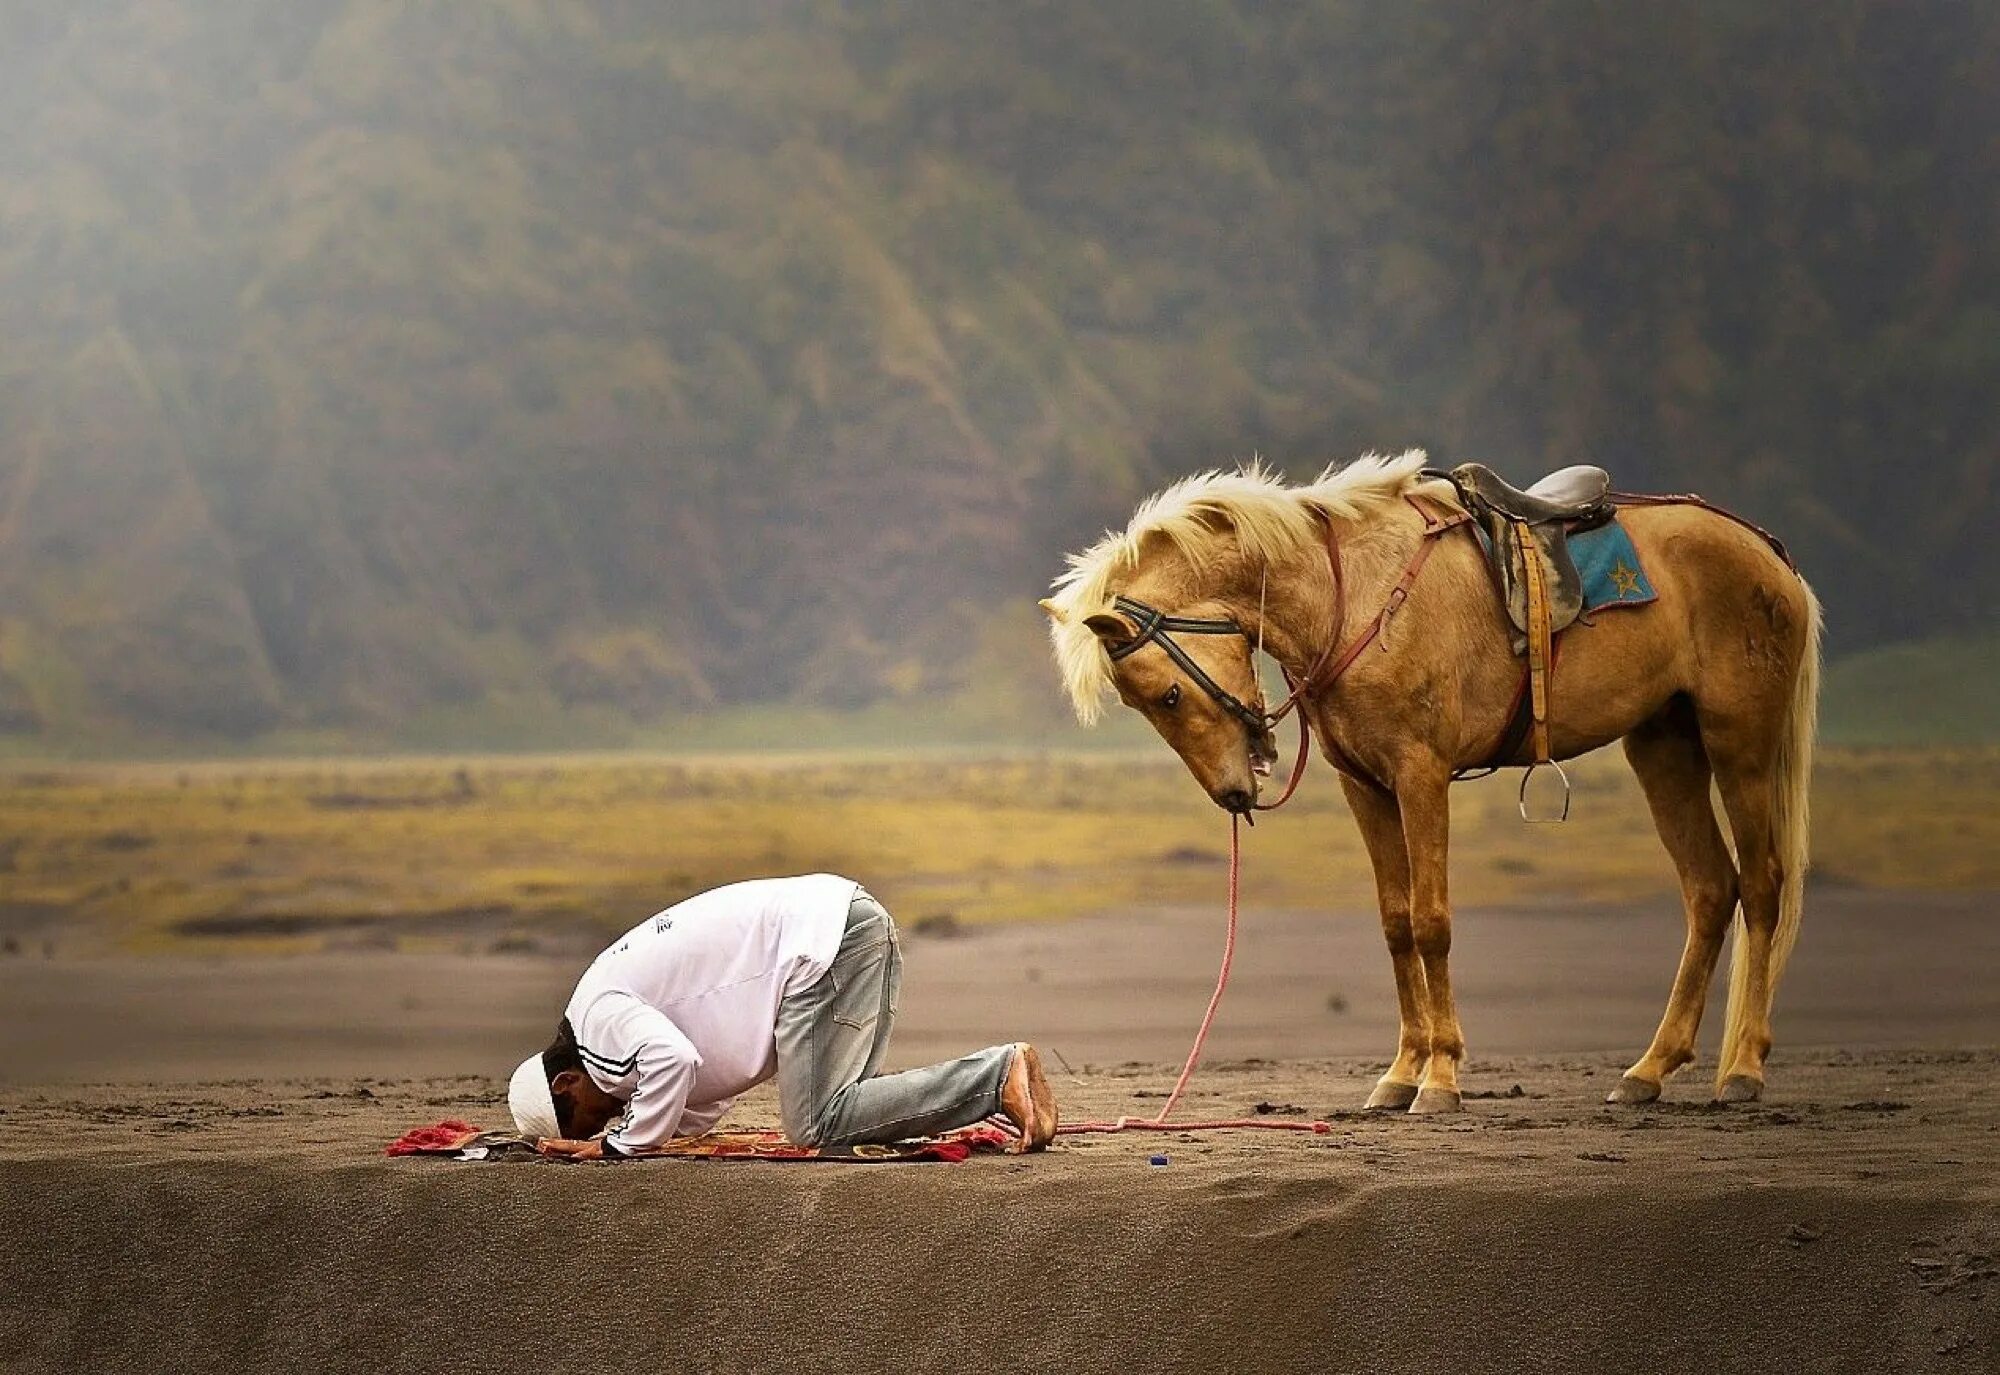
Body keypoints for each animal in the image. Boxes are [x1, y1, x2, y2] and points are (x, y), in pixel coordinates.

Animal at [1056, 453, 1824, 1119]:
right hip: (1662, 744)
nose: (1235, 792)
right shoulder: (1365, 785)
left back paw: (1742, 1069)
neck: (1351, 594)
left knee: (1761, 886)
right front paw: (1400, 1074)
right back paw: (1649, 1070)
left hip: (1738, 741)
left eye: (1166, 695)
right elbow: (1396, 924)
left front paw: (1442, 1078)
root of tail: (1767, 552)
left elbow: (1432, 922)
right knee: (1709, 889)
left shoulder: (1421, 774)